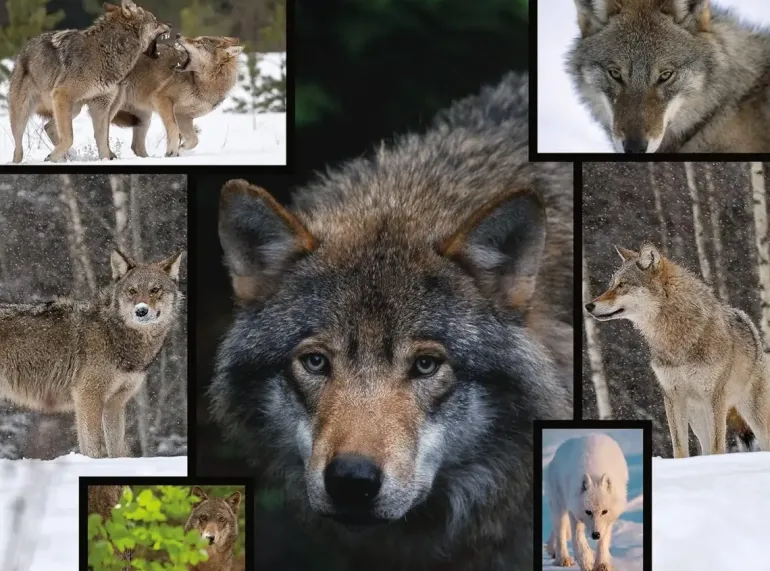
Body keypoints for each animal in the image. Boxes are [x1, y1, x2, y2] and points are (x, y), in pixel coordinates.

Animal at [0, 250, 184, 458]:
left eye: (155, 289)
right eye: (132, 291)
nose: (141, 311)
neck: (114, 334)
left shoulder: (115, 403)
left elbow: (117, 449)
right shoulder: (87, 397)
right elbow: (92, 448)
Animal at [8, 0, 171, 163]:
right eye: (155, 20)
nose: (169, 25)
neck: (108, 50)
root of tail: (24, 49)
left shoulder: (101, 105)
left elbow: (103, 141)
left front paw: (105, 160)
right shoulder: (62, 95)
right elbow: (69, 138)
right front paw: (52, 157)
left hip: (74, 108)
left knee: (49, 127)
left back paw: (65, 158)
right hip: (24, 113)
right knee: (18, 148)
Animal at [545, 434, 628, 571]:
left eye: (604, 512)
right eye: (588, 512)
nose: (595, 535)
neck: (595, 472)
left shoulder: (608, 521)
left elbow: (603, 542)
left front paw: (602, 564)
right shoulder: (574, 512)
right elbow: (578, 539)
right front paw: (586, 562)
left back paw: (552, 550)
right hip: (560, 507)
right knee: (560, 533)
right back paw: (562, 558)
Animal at [585, 243, 770, 458]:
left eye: (622, 284)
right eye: (612, 284)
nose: (588, 305)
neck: (675, 338)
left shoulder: (714, 397)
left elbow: (718, 449)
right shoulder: (672, 396)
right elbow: (680, 448)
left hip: (751, 416)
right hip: (697, 417)